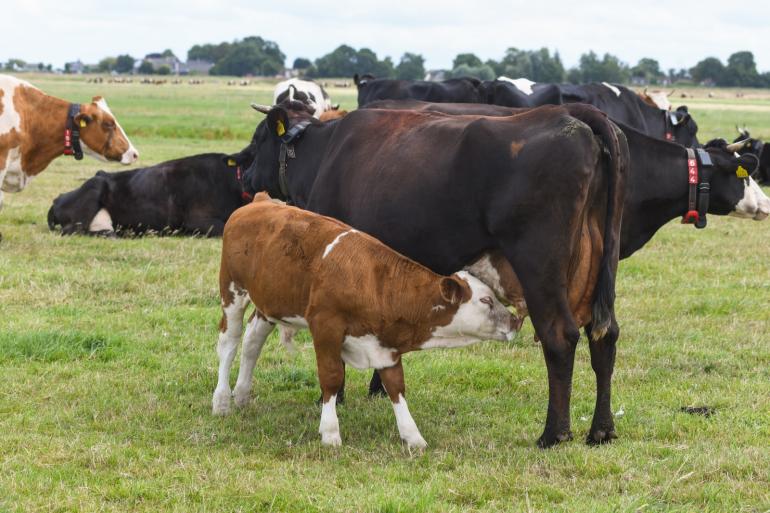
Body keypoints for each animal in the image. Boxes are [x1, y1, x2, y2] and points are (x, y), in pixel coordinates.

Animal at [212, 192, 516, 448]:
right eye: (485, 300)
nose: (514, 322)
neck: (374, 283)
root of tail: (261, 200)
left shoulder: (385, 344)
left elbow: (396, 385)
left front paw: (413, 436)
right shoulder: (326, 326)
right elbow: (332, 378)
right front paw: (330, 433)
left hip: (270, 303)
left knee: (252, 342)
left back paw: (242, 394)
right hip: (232, 291)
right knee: (229, 343)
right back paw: (222, 401)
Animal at [243, 99, 628, 444]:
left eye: (260, 138)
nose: (245, 176)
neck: (325, 153)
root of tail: (571, 115)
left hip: (540, 264)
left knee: (559, 336)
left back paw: (554, 434)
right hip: (597, 268)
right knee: (604, 335)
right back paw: (601, 430)